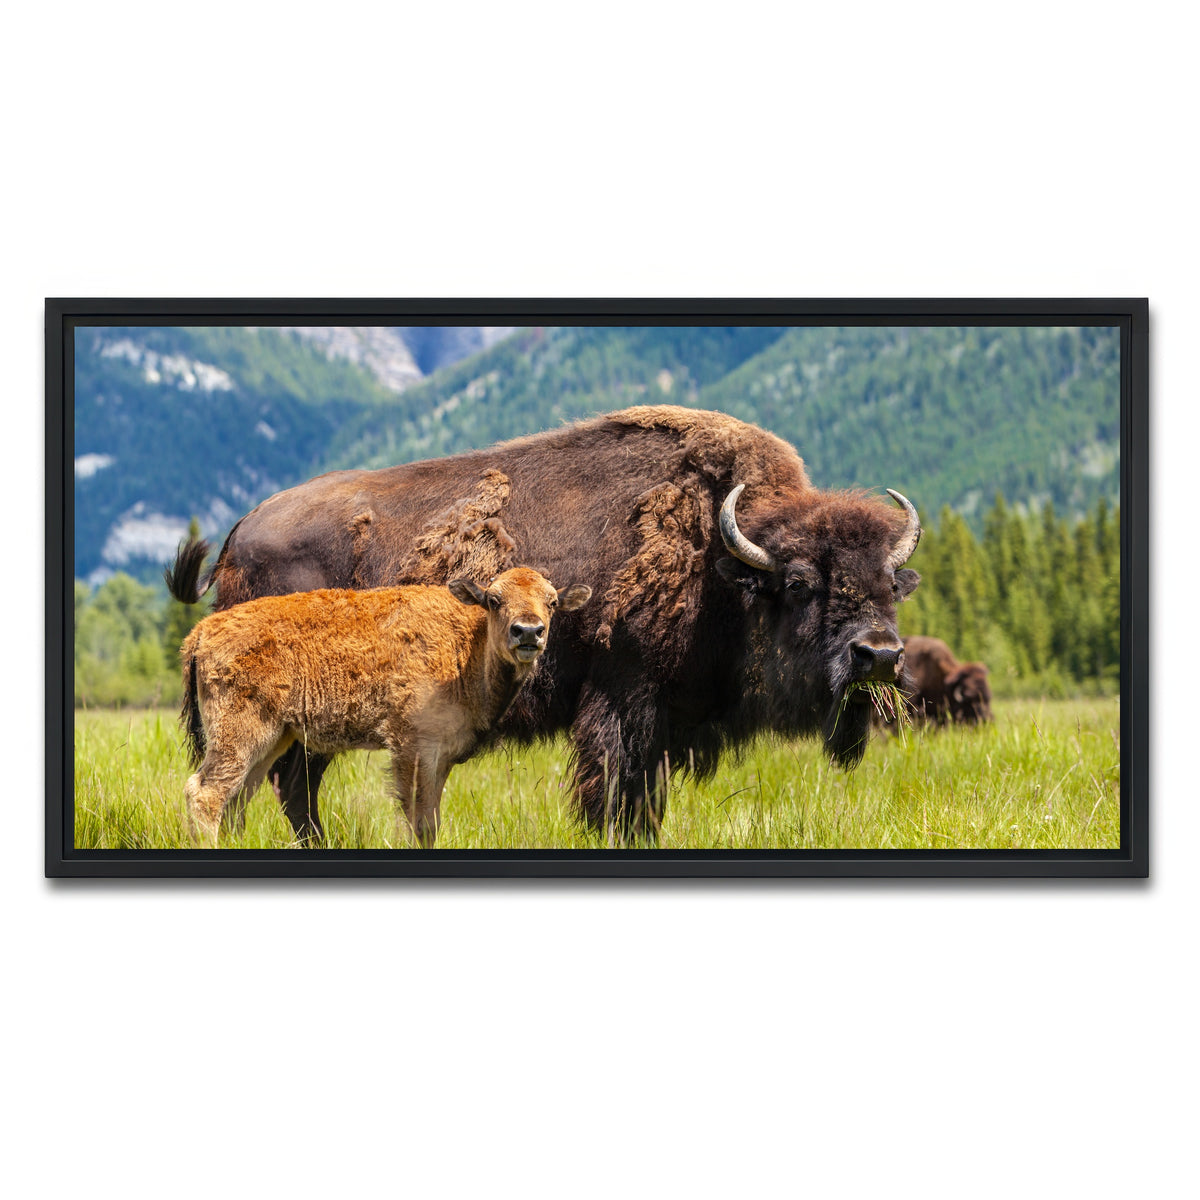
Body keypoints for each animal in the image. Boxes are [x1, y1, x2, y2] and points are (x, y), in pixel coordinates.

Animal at [179, 567, 591, 846]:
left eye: (552, 602)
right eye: (494, 600)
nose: (528, 632)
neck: (467, 646)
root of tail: (202, 631)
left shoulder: (441, 755)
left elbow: (431, 819)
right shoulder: (412, 747)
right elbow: (418, 819)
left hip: (271, 739)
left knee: (238, 797)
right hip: (239, 735)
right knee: (206, 793)